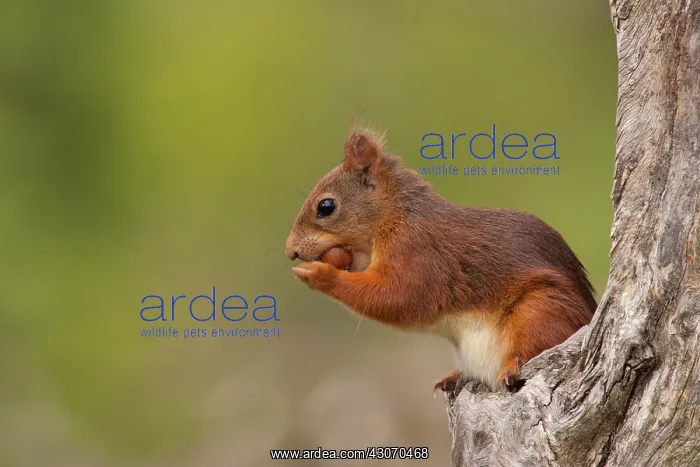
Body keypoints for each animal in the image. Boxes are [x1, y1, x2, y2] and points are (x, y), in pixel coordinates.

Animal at [285, 125, 597, 393]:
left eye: (326, 206)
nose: (291, 251)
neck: (395, 217)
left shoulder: (419, 252)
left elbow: (400, 296)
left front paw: (320, 274)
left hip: (543, 308)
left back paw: (511, 366)